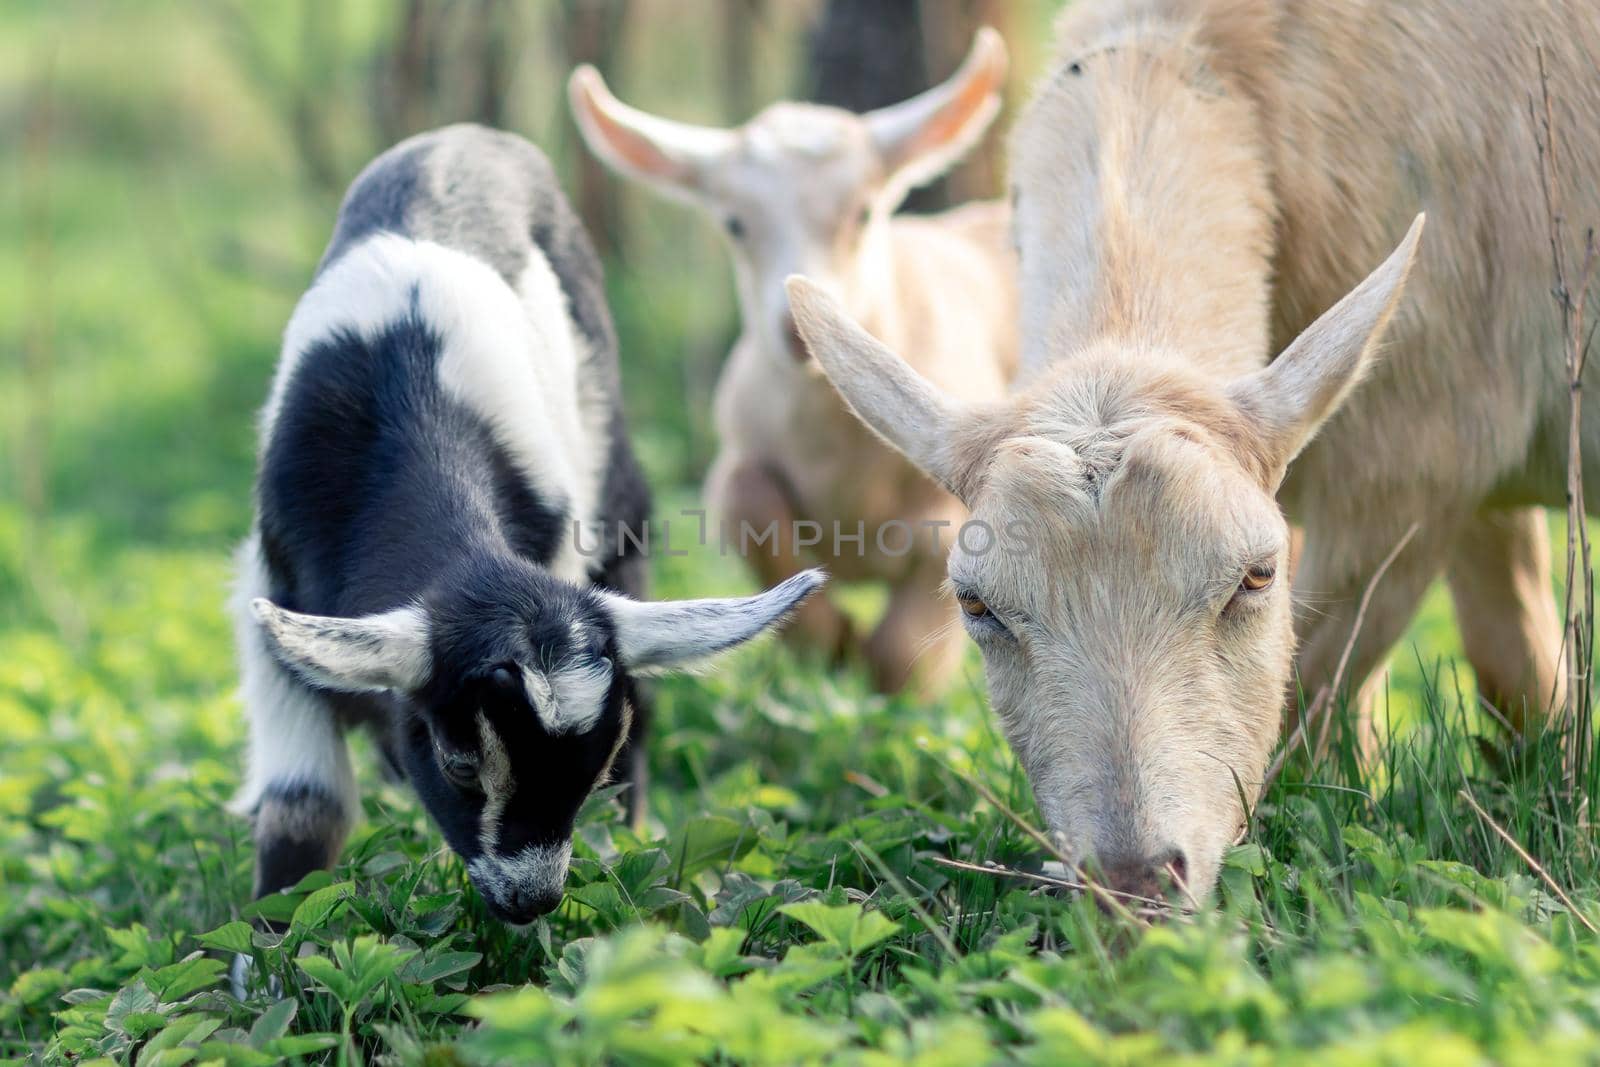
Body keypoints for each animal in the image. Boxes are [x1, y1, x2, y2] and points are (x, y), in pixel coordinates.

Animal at [566, 31, 1011, 694]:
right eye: (734, 224)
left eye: (863, 212)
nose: (792, 332)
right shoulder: (734, 466)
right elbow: (752, 506)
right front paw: (833, 644)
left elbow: (904, 650)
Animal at [793, 0, 1600, 902]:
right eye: (976, 605)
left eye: (1257, 576)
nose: (1135, 879)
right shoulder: (1465, 472)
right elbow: (1516, 672)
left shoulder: (1414, 459)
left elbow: (1316, 703)